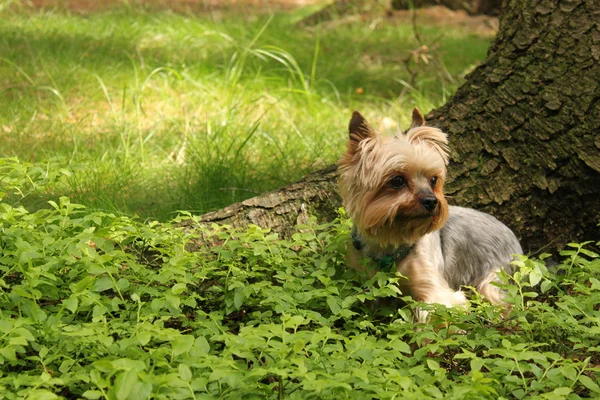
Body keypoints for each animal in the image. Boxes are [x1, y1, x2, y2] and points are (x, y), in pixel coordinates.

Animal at [340, 108, 524, 318]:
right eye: (397, 180)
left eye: (433, 179)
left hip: (494, 276)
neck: (390, 242)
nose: (431, 201)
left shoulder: (435, 290)